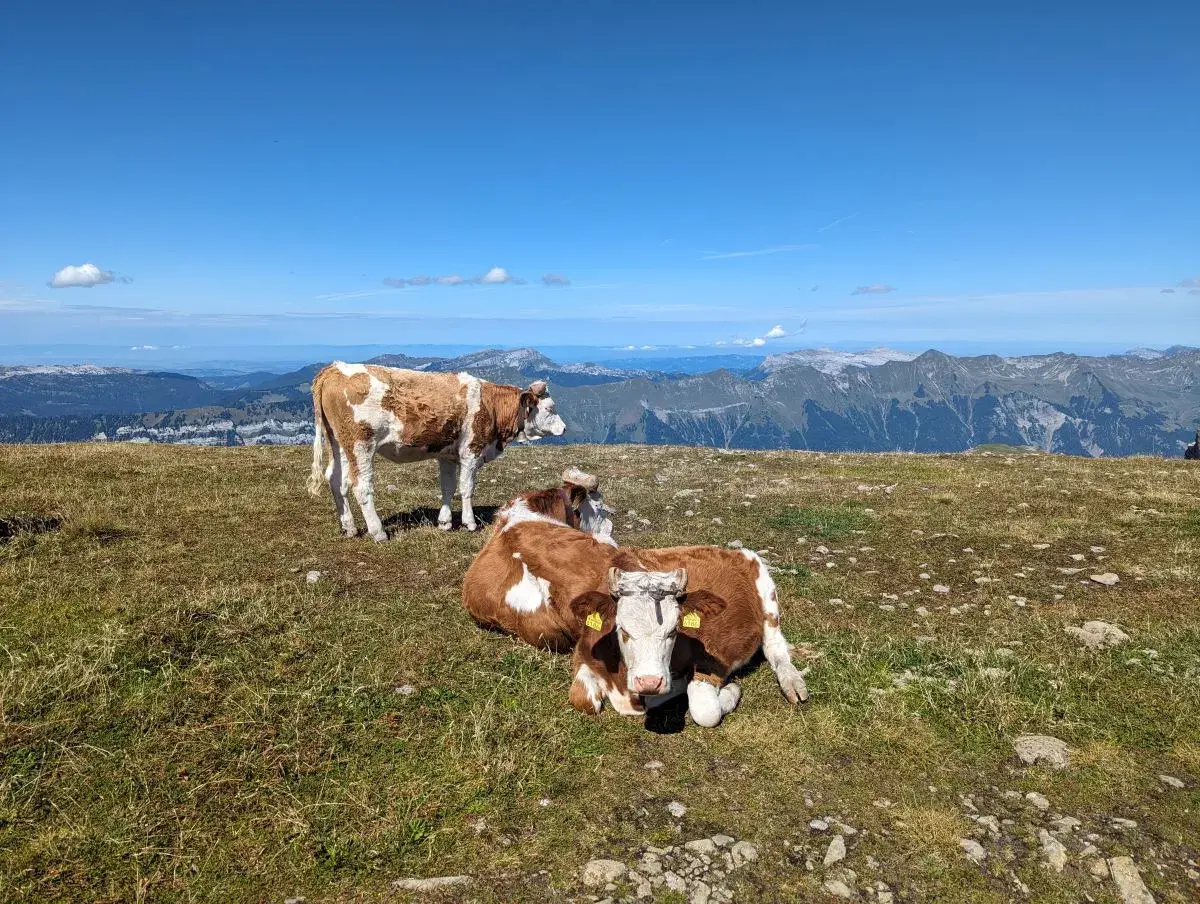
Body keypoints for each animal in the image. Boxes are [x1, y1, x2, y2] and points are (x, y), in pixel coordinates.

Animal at [307, 362, 565, 539]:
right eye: (549, 408)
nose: (564, 428)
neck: (491, 406)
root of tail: (334, 368)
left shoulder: (447, 455)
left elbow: (448, 487)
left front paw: (445, 522)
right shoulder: (471, 451)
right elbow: (467, 488)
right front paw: (469, 523)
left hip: (340, 443)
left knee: (336, 481)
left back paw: (349, 527)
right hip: (361, 444)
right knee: (361, 486)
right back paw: (378, 532)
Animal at [462, 518, 809, 726]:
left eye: (674, 631)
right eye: (622, 630)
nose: (650, 682)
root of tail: (725, 549)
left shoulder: (715, 658)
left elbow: (705, 710)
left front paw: (728, 692)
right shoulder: (585, 655)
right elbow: (583, 698)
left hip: (765, 590)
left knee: (777, 649)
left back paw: (793, 683)